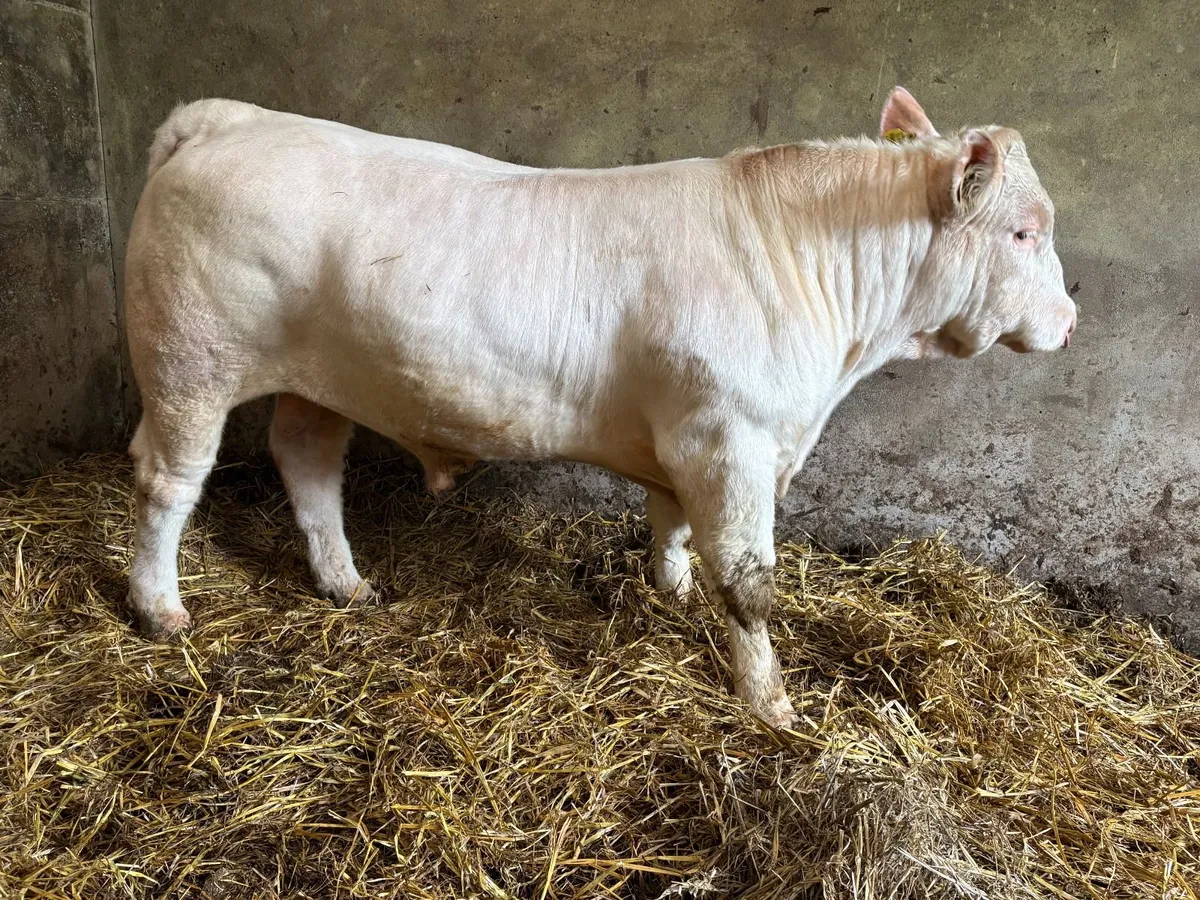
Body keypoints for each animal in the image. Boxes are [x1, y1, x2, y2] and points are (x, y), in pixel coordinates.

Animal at [124, 87, 1075, 728]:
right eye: (1025, 232)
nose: (1070, 321)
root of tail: (229, 120)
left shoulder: (687, 440)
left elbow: (672, 523)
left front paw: (672, 591)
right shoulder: (731, 438)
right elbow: (751, 584)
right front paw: (769, 703)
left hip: (319, 378)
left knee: (308, 463)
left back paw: (346, 583)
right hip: (190, 361)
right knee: (169, 482)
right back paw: (158, 604)